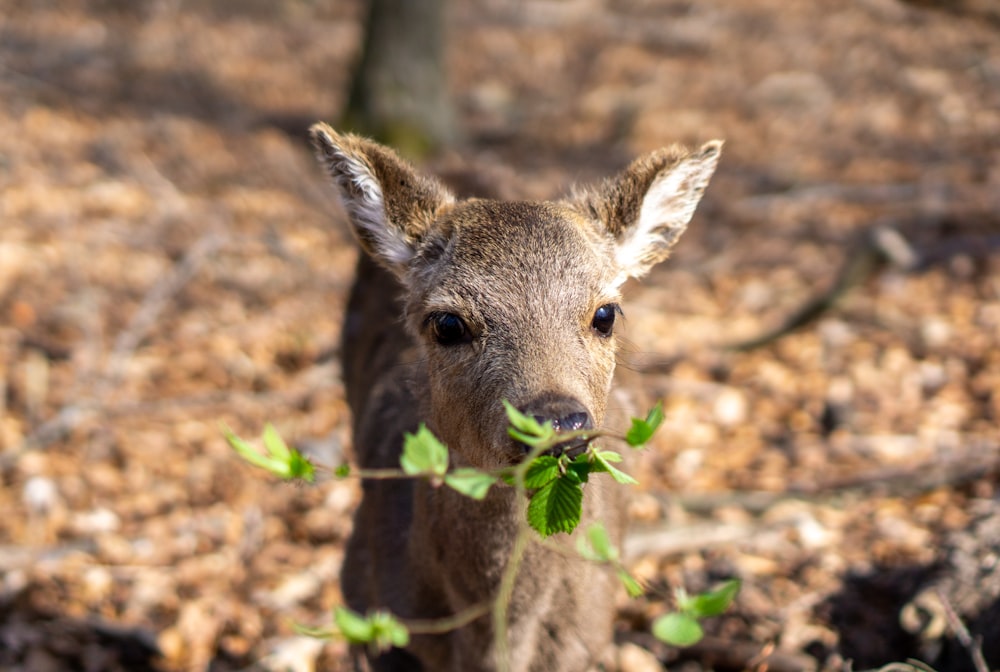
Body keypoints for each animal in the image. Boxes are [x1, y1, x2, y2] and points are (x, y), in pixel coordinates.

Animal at [310, 126, 720, 672]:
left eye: (605, 313)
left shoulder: (588, 638)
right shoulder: (364, 601)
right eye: (447, 323)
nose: (556, 420)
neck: (496, 644)